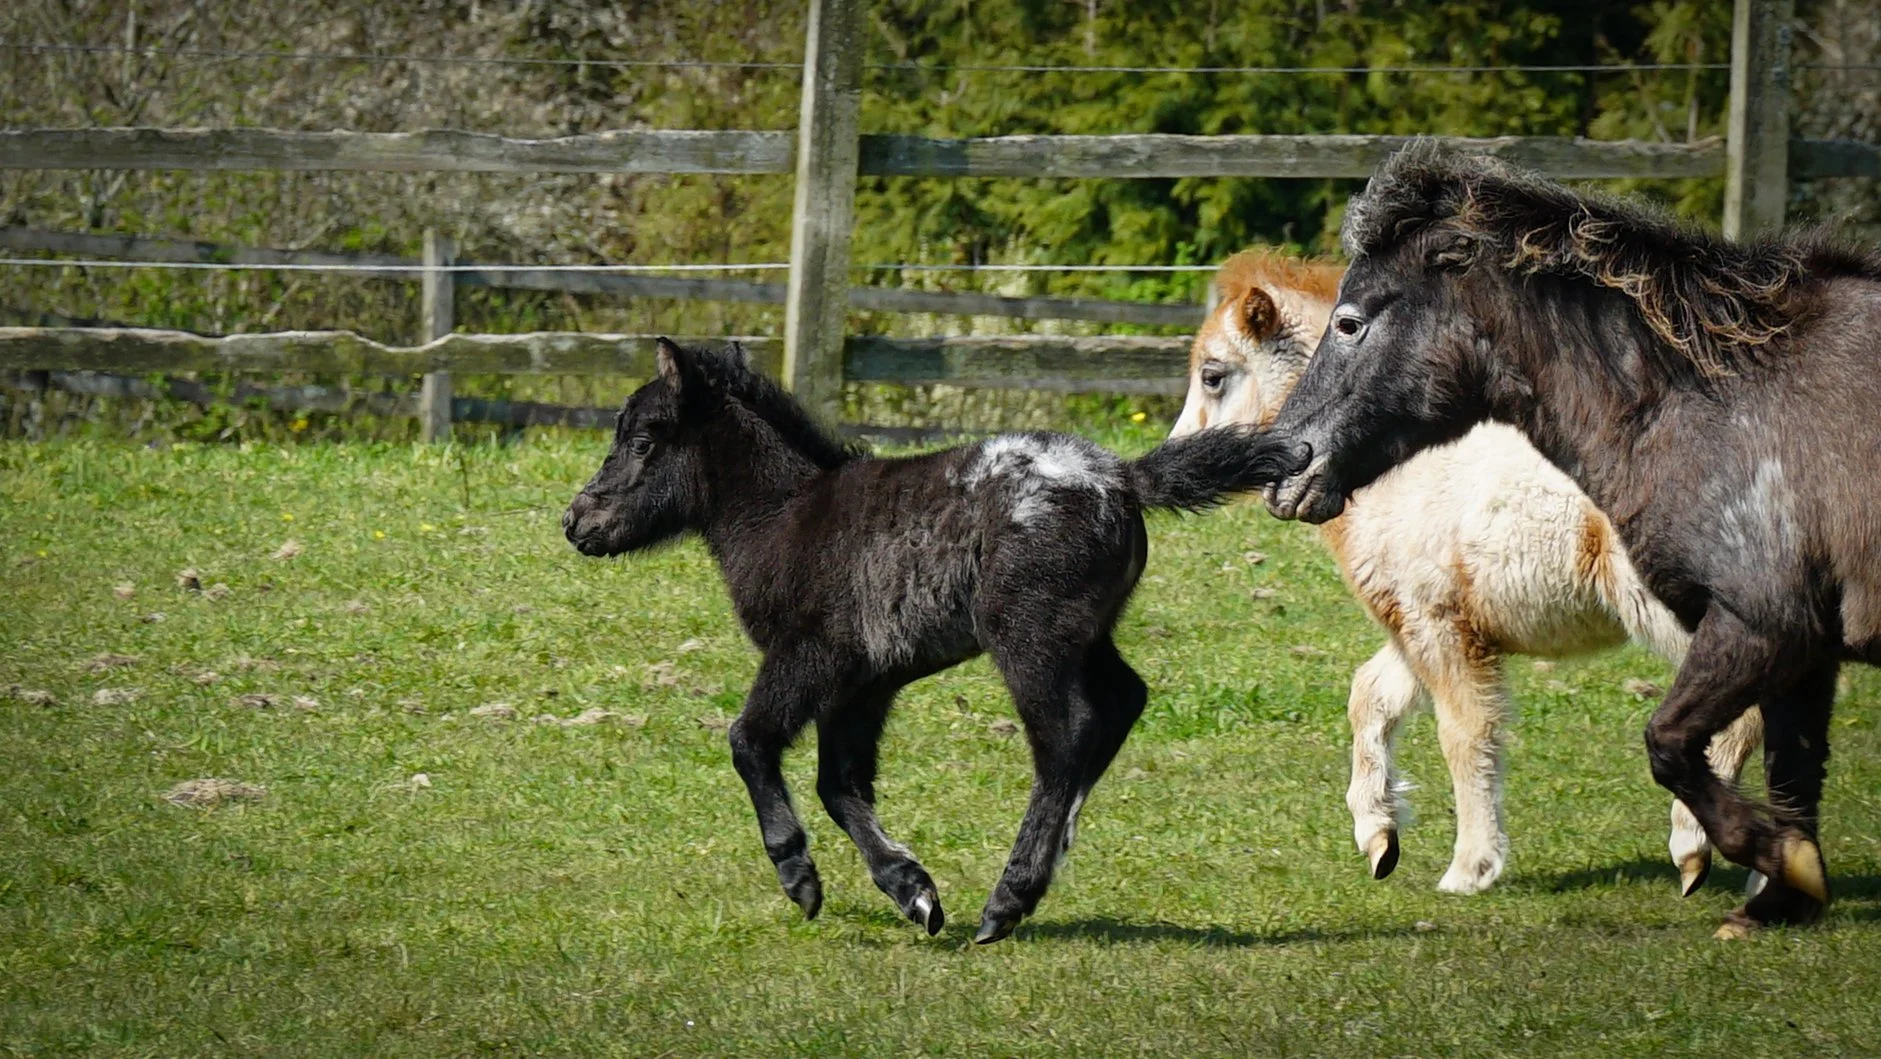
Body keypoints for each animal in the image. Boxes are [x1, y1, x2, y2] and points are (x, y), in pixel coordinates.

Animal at [563, 338, 1298, 943]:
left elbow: (749, 742)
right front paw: (911, 890)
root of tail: (1120, 477)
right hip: (1086, 634)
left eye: (644, 441)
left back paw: (1009, 898)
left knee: (1067, 736)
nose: (576, 521)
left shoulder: (810, 655)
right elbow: (840, 784)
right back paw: (1050, 853)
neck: (783, 515)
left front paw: (799, 876)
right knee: (1123, 702)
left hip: (1028, 637)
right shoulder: (863, 684)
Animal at [1174, 249, 1762, 896]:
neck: (1400, 470)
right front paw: (1378, 835)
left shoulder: (1443, 626)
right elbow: (1370, 697)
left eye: (1213, 374)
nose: (1182, 465)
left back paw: (1696, 849)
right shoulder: (1415, 622)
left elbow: (1465, 733)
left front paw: (1470, 866)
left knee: (1741, 717)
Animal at [1261, 142, 1881, 937]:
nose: (1284, 471)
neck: (1718, 398)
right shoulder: (1804, 650)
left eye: (1348, 323)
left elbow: (1663, 742)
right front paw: (1782, 891)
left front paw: (1772, 864)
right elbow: (1793, 767)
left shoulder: (1763, 625)